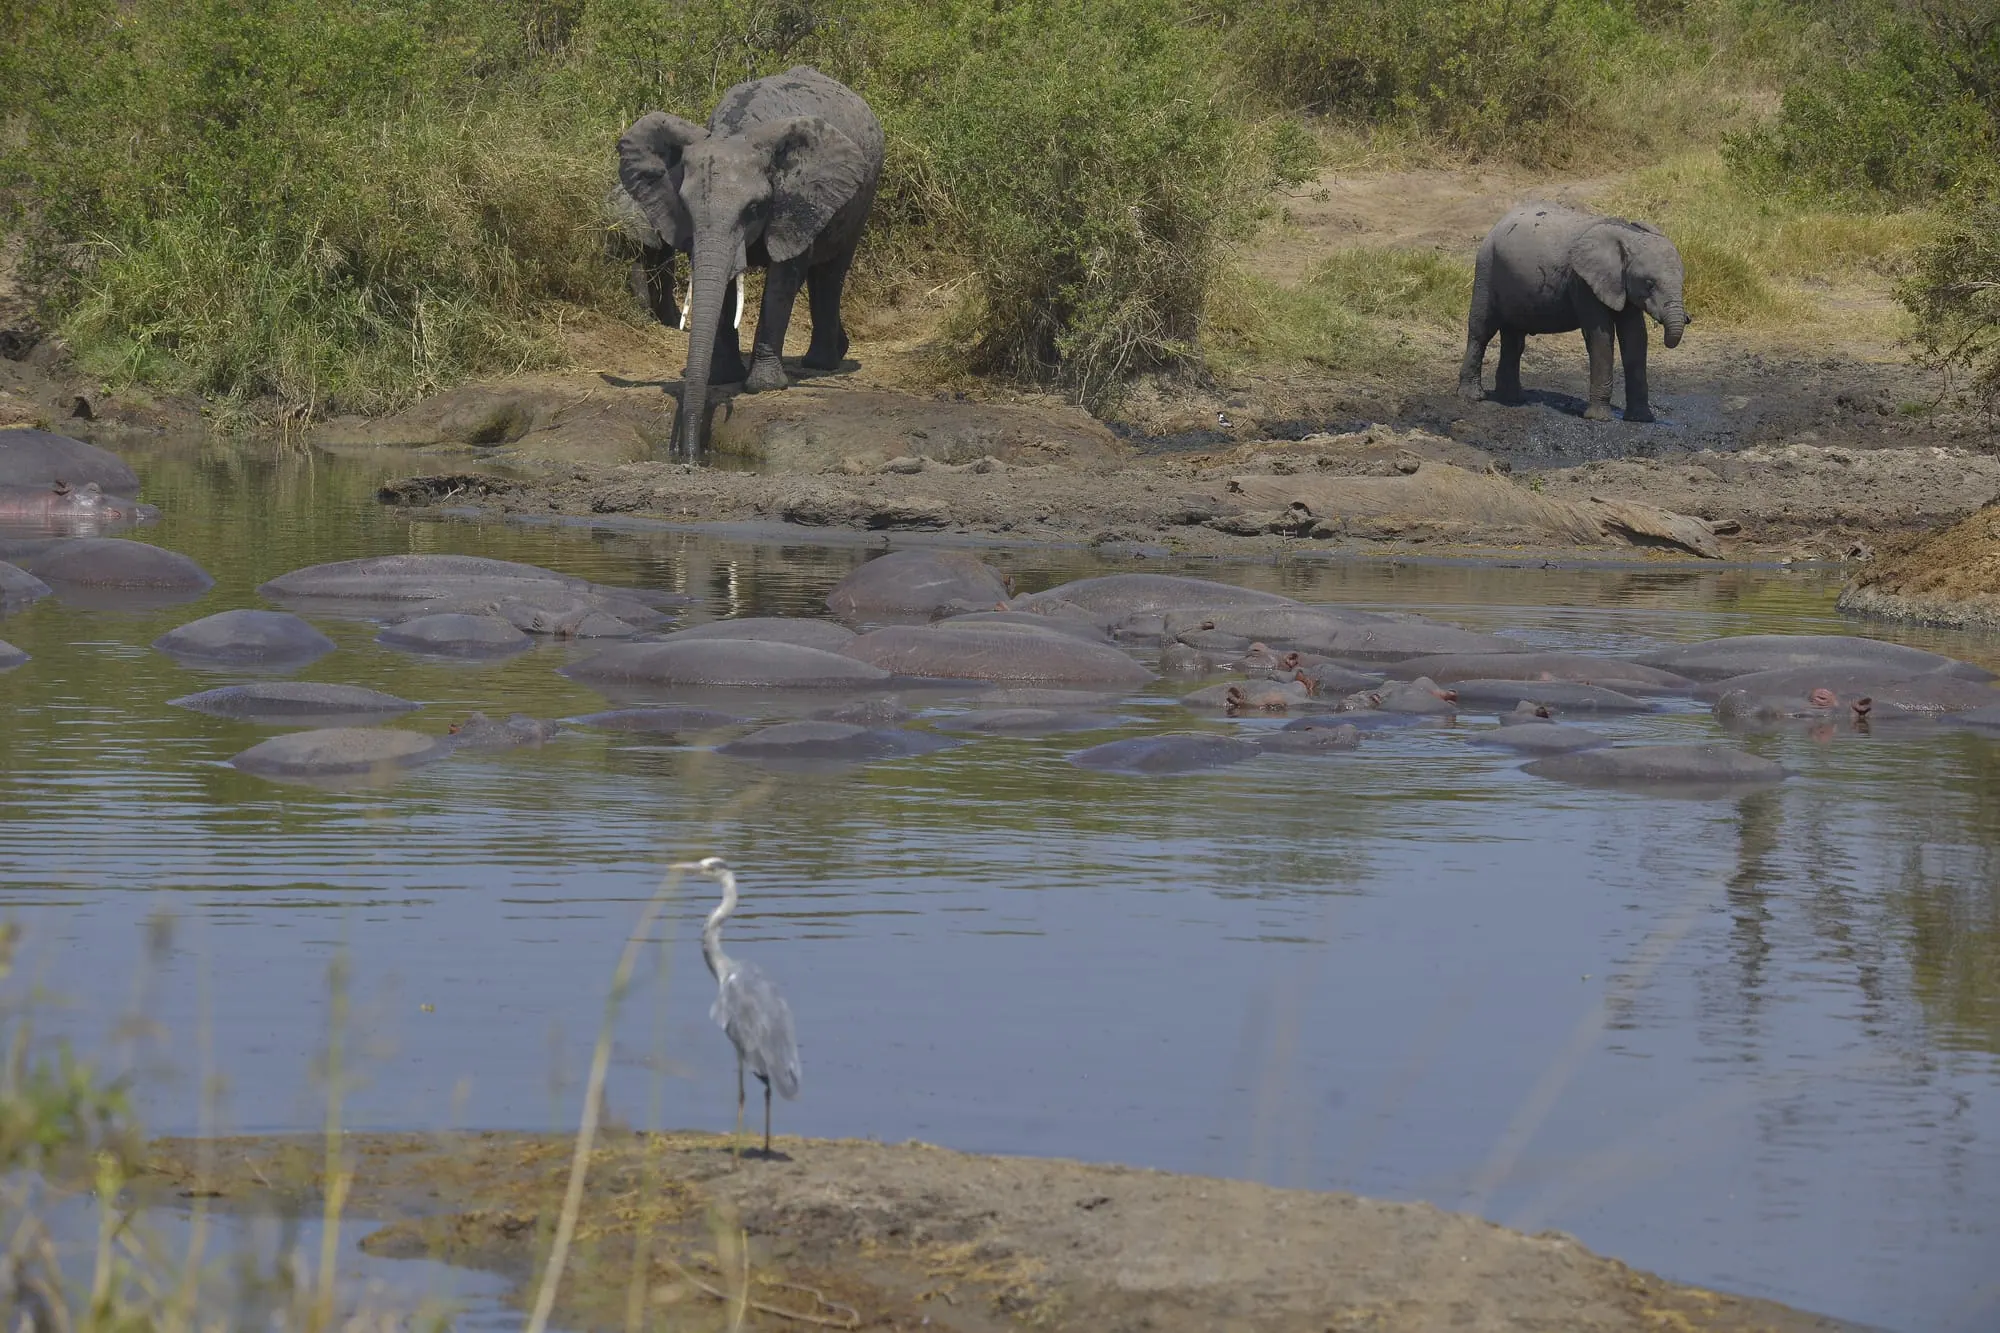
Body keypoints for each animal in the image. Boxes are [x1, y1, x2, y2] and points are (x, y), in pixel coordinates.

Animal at [617, 66, 885, 460]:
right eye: (685, 206)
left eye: (755, 208)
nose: (690, 458)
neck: (737, 131)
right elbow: (724, 282)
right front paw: (723, 377)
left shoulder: (794, 199)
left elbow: (784, 279)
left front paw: (764, 386)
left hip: (862, 195)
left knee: (830, 273)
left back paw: (821, 364)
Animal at [1458, 202, 1690, 423]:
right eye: (1649, 284)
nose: (1688, 318)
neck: (1628, 236)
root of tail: (1497, 225)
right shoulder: (1582, 282)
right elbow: (1600, 336)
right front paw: (1599, 418)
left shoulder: (1622, 285)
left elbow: (1635, 338)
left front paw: (1641, 419)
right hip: (1487, 268)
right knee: (1482, 331)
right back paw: (1473, 396)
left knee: (1514, 341)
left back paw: (1514, 399)